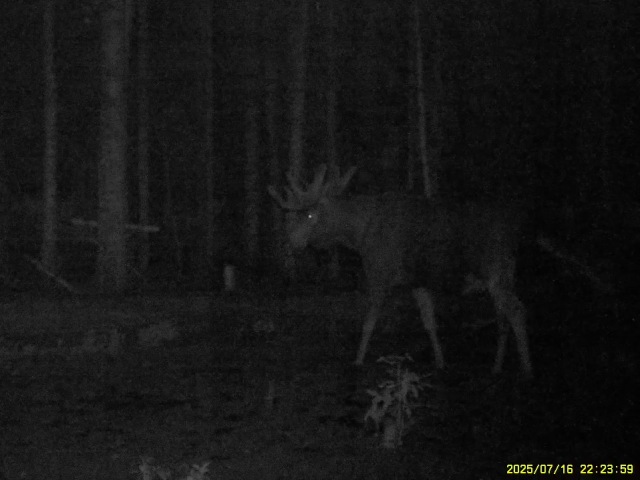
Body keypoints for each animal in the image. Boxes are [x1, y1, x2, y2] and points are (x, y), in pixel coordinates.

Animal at [268, 164, 533, 378]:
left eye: (310, 214)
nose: (291, 244)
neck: (359, 235)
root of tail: (514, 234)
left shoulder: (379, 273)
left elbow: (368, 323)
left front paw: (357, 361)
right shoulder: (417, 281)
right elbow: (429, 322)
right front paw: (440, 362)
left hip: (495, 271)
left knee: (518, 311)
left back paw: (526, 368)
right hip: (503, 276)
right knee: (503, 318)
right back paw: (497, 367)